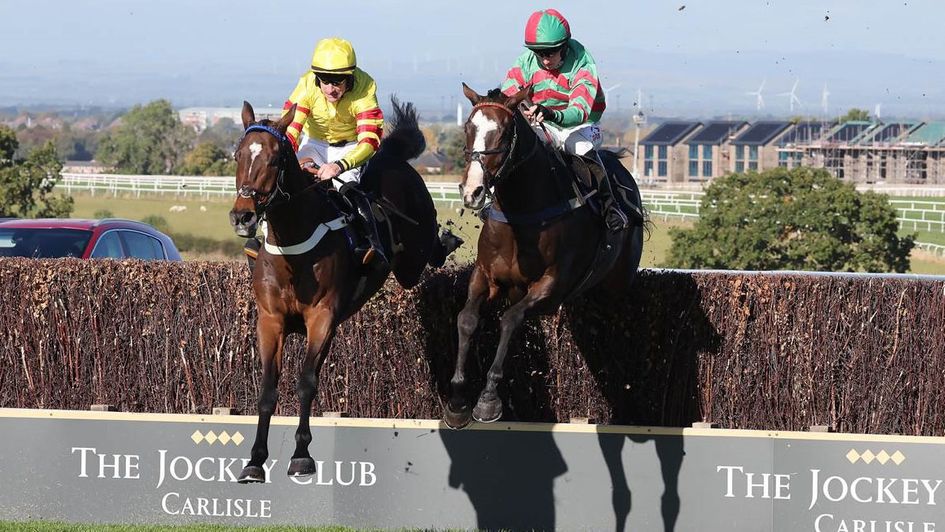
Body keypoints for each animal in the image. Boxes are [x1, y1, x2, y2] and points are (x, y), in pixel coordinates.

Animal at [225, 98, 454, 482]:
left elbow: (306, 381)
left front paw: (301, 455)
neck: (294, 245)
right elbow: (268, 388)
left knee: (429, 252)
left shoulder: (322, 318)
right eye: (238, 154)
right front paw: (255, 460)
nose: (242, 216)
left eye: (274, 159)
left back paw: (449, 239)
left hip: (412, 260)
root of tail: (391, 157)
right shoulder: (270, 320)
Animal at [440, 85, 644, 430]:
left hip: (617, 283)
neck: (522, 214)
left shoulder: (552, 286)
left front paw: (488, 400)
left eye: (504, 132)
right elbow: (466, 319)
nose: (473, 192)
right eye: (468, 128)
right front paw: (457, 401)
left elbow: (510, 320)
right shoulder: (485, 276)